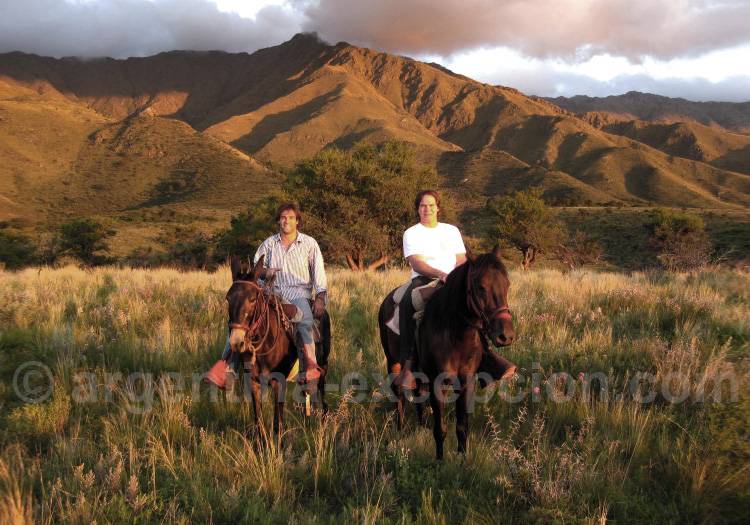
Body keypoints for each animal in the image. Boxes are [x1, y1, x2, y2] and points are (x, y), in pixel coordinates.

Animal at [226, 255, 330, 438]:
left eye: (253, 299)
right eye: (228, 298)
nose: (236, 342)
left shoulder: (279, 382)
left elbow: (278, 424)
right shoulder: (254, 382)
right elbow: (259, 421)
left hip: (323, 365)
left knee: (322, 391)